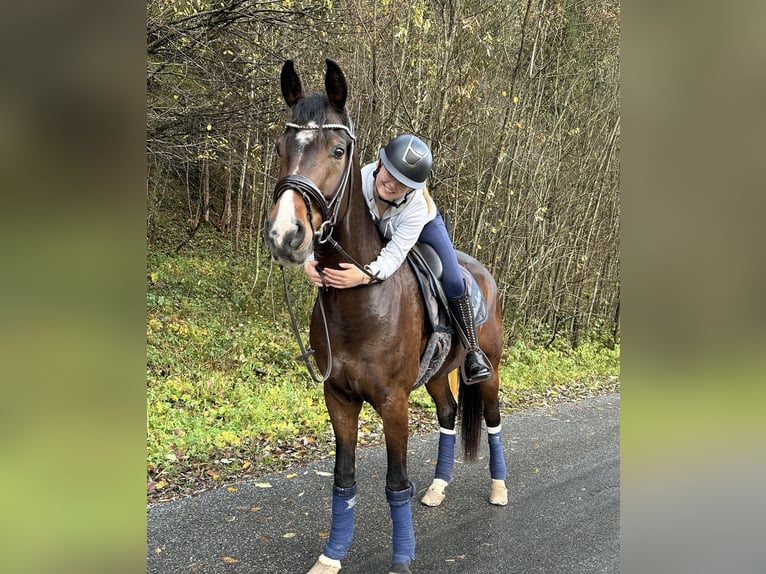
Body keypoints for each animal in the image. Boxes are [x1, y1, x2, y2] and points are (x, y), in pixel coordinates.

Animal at [264, 59, 510, 574]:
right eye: (280, 147)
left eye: (338, 150)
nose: (285, 234)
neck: (360, 305)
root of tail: (481, 272)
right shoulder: (339, 399)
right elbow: (343, 479)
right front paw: (331, 556)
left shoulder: (393, 403)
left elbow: (396, 484)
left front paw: (401, 560)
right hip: (436, 375)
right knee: (449, 412)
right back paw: (438, 487)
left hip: (490, 370)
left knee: (493, 420)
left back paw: (499, 488)